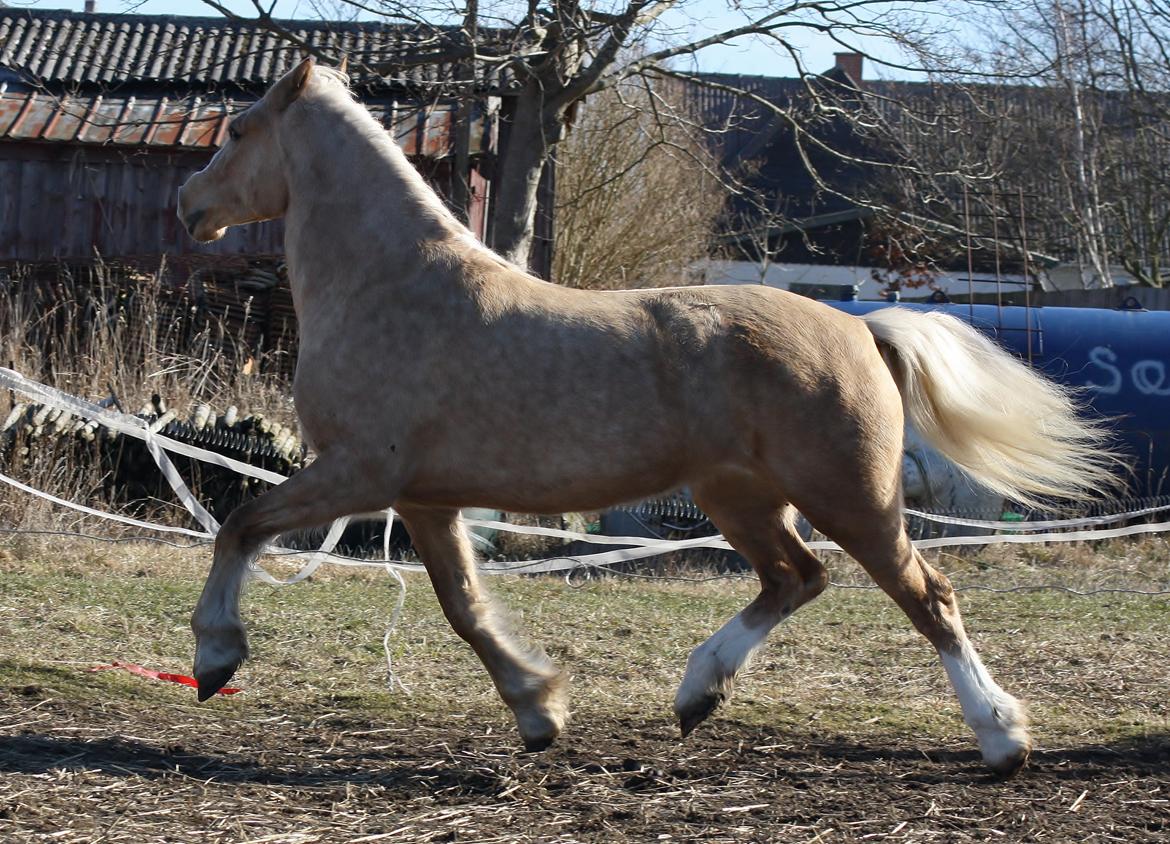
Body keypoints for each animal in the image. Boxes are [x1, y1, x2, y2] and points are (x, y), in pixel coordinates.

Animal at [175, 55, 1113, 772]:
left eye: (237, 132)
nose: (190, 204)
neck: (390, 286)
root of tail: (857, 325)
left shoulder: (359, 471)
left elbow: (242, 525)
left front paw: (216, 656)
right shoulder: (425, 499)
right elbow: (465, 609)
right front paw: (539, 711)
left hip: (851, 498)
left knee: (928, 597)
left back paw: (1002, 739)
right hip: (739, 497)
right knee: (795, 578)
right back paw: (698, 692)